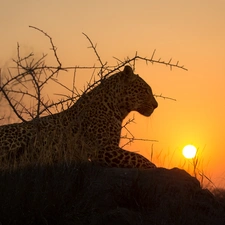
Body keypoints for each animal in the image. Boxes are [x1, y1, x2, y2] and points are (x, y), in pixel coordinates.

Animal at [0, 65, 158, 169]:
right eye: (145, 90)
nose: (156, 105)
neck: (117, 108)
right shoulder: (102, 148)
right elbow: (138, 157)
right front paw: (155, 167)